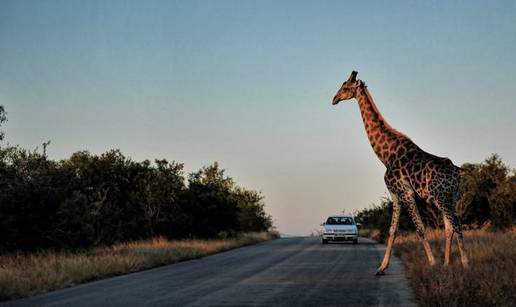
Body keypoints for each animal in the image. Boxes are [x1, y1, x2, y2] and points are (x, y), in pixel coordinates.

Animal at [332, 71, 470, 276]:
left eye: (345, 86)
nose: (334, 99)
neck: (386, 155)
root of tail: (457, 172)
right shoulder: (395, 194)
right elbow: (392, 230)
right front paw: (381, 267)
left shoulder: (406, 192)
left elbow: (420, 228)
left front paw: (432, 263)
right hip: (450, 197)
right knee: (449, 227)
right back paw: (447, 265)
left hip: (442, 197)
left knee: (457, 224)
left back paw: (465, 264)